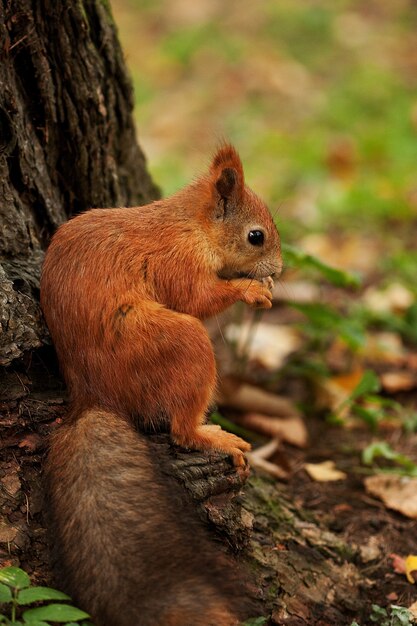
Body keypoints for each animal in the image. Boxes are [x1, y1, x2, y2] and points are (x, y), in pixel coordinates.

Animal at [40, 144, 282, 620]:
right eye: (256, 236)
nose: (280, 270)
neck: (192, 226)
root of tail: (91, 396)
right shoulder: (177, 260)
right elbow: (196, 297)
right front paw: (250, 290)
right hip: (178, 342)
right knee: (180, 431)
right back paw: (212, 436)